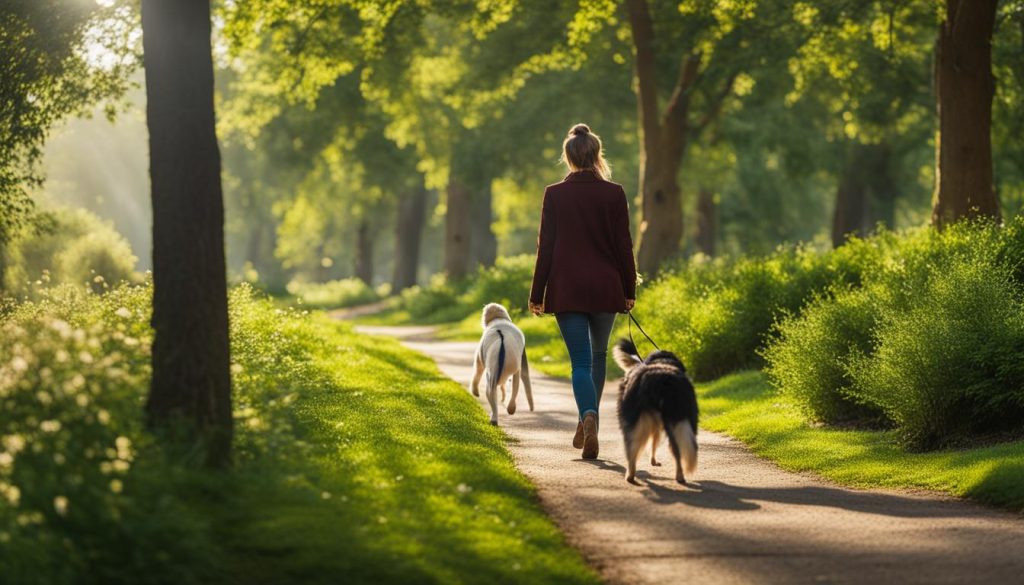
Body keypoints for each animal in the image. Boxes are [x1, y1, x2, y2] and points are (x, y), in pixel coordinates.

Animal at [614, 338, 696, 485]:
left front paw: (653, 461)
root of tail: (661, 378)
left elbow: (652, 443)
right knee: (677, 449)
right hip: (681, 417)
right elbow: (655, 443)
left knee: (631, 449)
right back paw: (680, 476)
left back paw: (630, 476)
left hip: (633, 419)